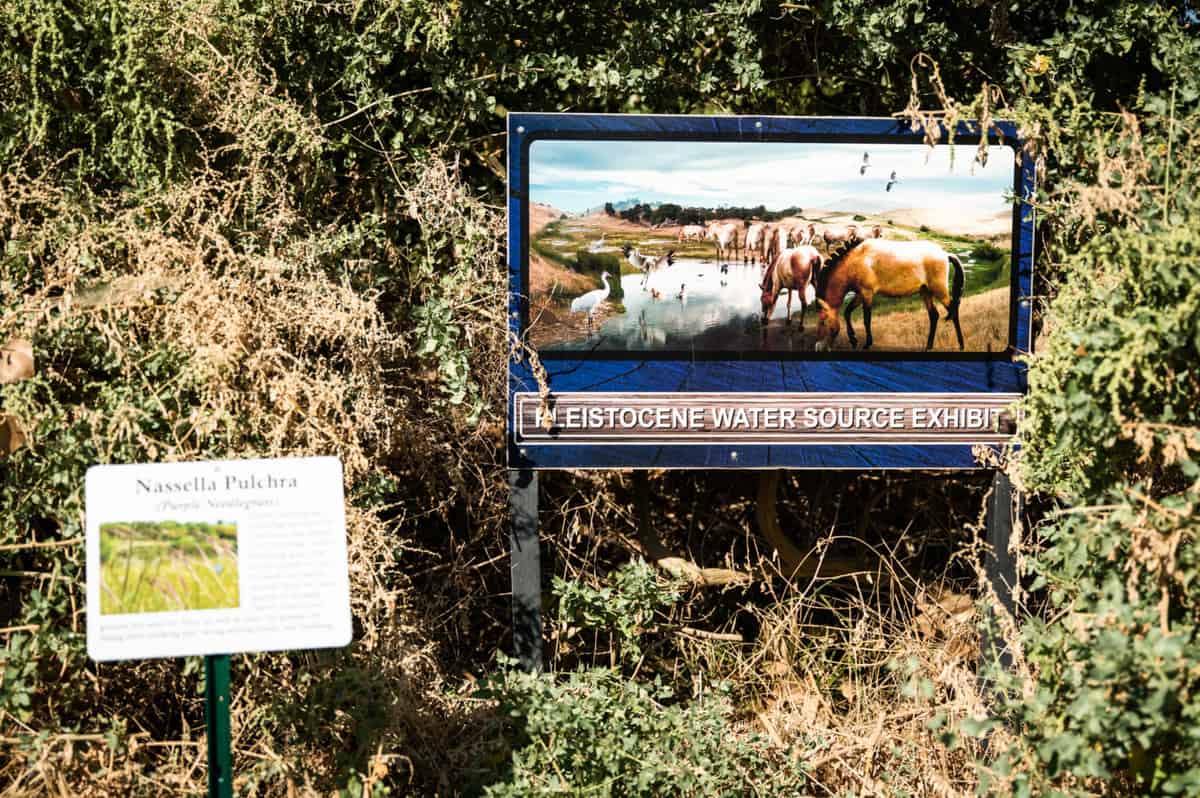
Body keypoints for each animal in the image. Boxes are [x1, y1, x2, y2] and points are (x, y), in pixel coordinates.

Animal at [806, 236, 964, 348]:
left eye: (823, 322)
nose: (818, 346)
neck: (856, 259)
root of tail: (945, 254)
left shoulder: (867, 293)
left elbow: (866, 318)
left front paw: (867, 344)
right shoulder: (860, 293)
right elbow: (847, 312)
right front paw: (853, 339)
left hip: (940, 291)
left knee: (953, 310)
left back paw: (961, 345)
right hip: (926, 292)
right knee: (934, 316)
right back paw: (928, 346)